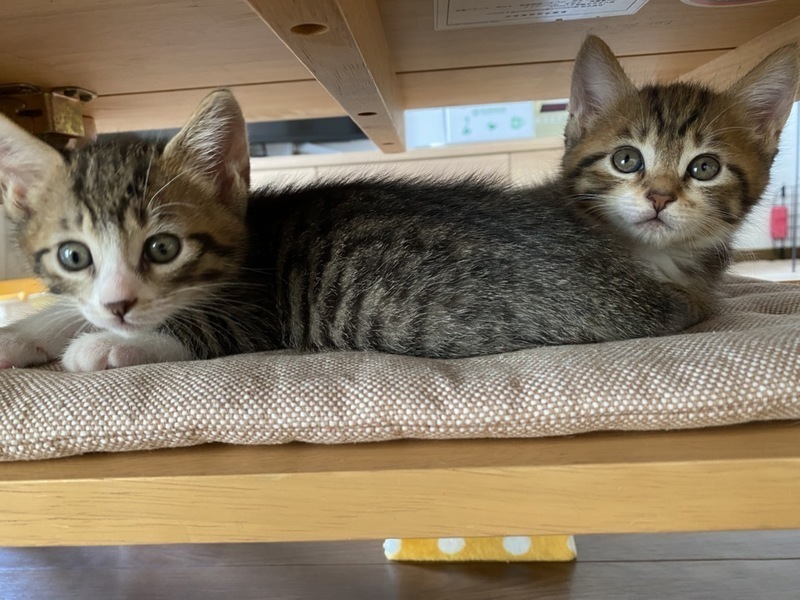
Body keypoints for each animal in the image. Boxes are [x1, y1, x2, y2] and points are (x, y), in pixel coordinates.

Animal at [0, 35, 796, 371]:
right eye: (73, 255)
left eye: (162, 247)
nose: (118, 305)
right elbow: (65, 307)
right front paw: (27, 330)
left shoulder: (260, 317)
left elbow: (192, 333)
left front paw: (103, 344)